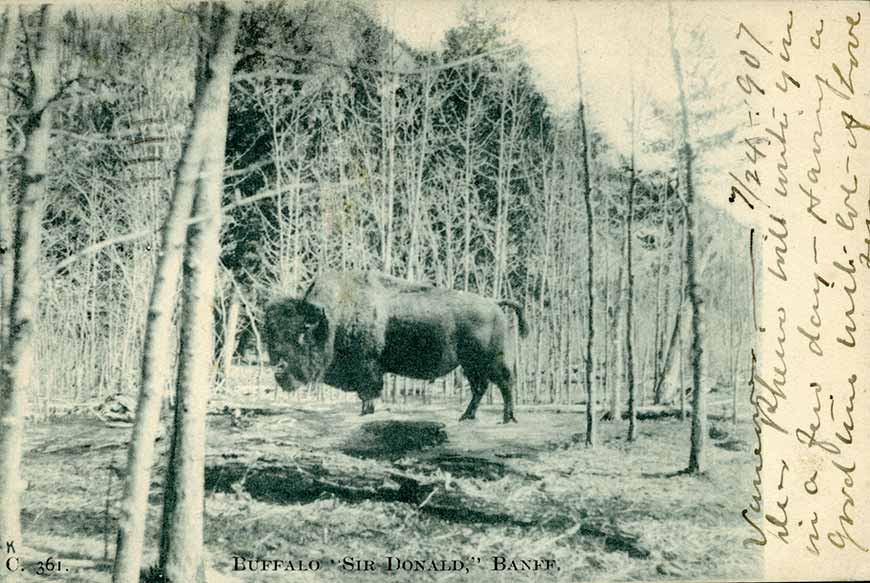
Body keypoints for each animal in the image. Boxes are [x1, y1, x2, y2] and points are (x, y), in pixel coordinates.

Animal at [262, 272, 528, 422]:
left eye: (302, 335)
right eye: (272, 337)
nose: (279, 369)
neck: (333, 317)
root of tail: (494, 305)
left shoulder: (368, 366)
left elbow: (368, 392)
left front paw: (366, 413)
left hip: (490, 361)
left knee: (505, 384)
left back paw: (507, 418)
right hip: (470, 365)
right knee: (480, 388)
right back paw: (466, 416)